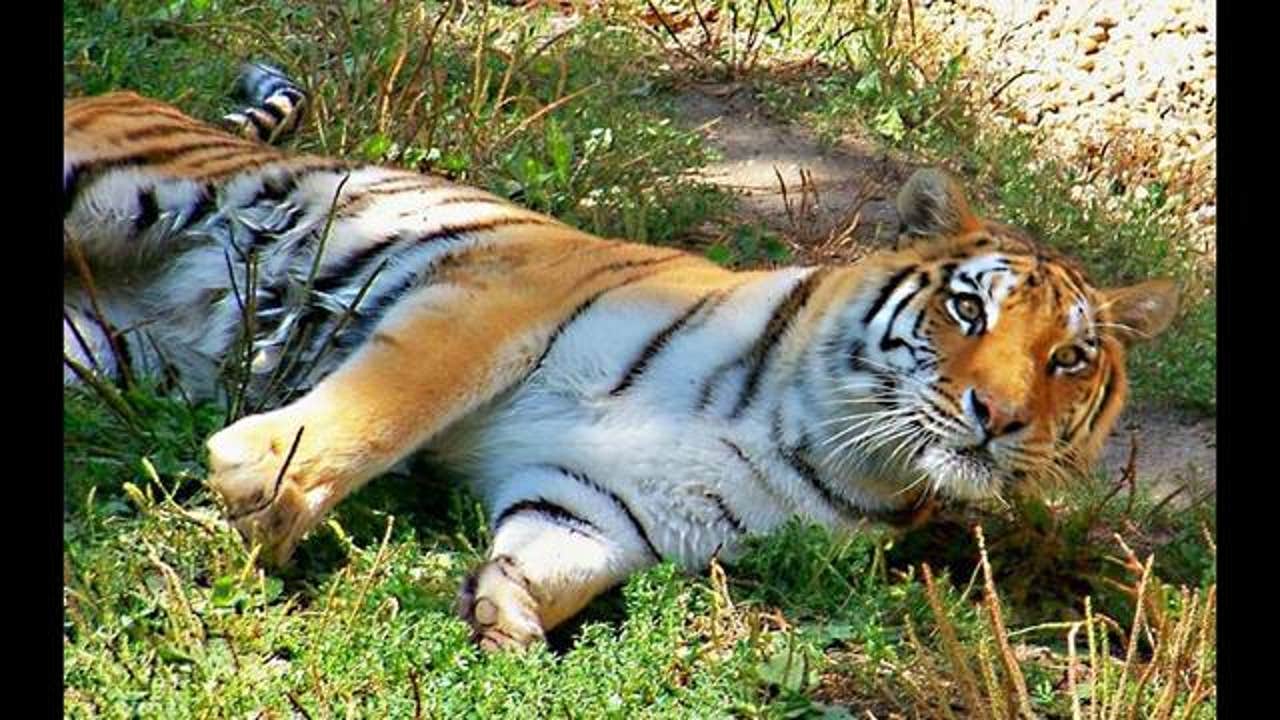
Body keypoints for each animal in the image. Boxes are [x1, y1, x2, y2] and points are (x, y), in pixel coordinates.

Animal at [64, 65, 1179, 651]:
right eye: (965, 307)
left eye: (1069, 358)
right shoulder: (498, 292)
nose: (999, 417)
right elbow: (390, 400)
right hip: (121, 189)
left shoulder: (604, 503)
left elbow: (552, 559)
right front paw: (263, 481)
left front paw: (504, 615)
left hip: (97, 349)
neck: (817, 438)